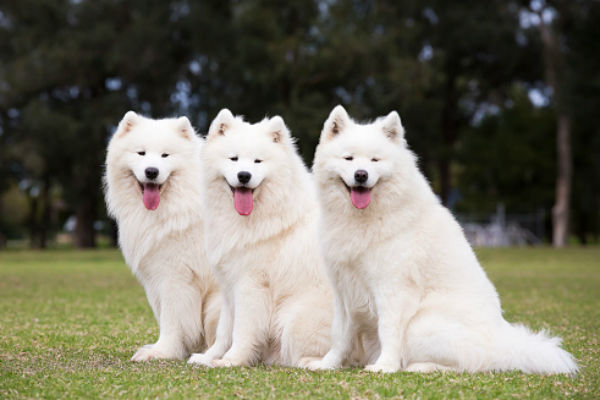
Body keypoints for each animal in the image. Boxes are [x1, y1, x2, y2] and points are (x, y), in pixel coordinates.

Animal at [104, 111, 219, 360]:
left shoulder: (176, 276)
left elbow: (171, 320)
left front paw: (162, 351)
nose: (151, 171)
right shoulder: (156, 277)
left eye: (166, 155)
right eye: (141, 153)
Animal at [189, 109, 338, 368]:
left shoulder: (250, 285)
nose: (244, 176)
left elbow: (241, 331)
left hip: (295, 318)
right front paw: (209, 357)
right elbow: (223, 331)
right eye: (234, 159)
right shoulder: (229, 286)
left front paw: (231, 360)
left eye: (258, 161)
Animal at [308, 104, 580, 374]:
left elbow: (389, 330)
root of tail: (501, 345)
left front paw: (385, 366)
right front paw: (327, 363)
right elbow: (340, 335)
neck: (363, 218)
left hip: (421, 324)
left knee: (468, 363)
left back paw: (420, 367)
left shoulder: (392, 289)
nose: (361, 175)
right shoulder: (343, 292)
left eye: (375, 160)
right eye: (349, 158)